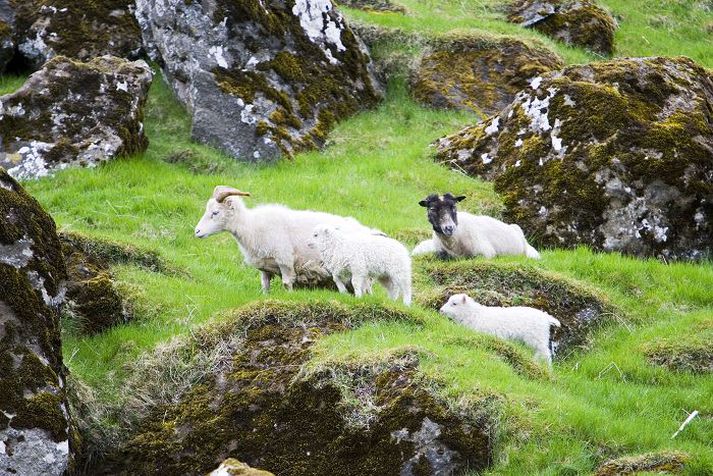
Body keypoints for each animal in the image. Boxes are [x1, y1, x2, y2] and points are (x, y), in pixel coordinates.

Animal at [195, 187, 382, 292]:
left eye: (215, 213)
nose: (196, 232)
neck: (251, 226)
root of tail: (367, 230)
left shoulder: (284, 260)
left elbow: (286, 283)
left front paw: (289, 296)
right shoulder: (264, 266)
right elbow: (265, 285)